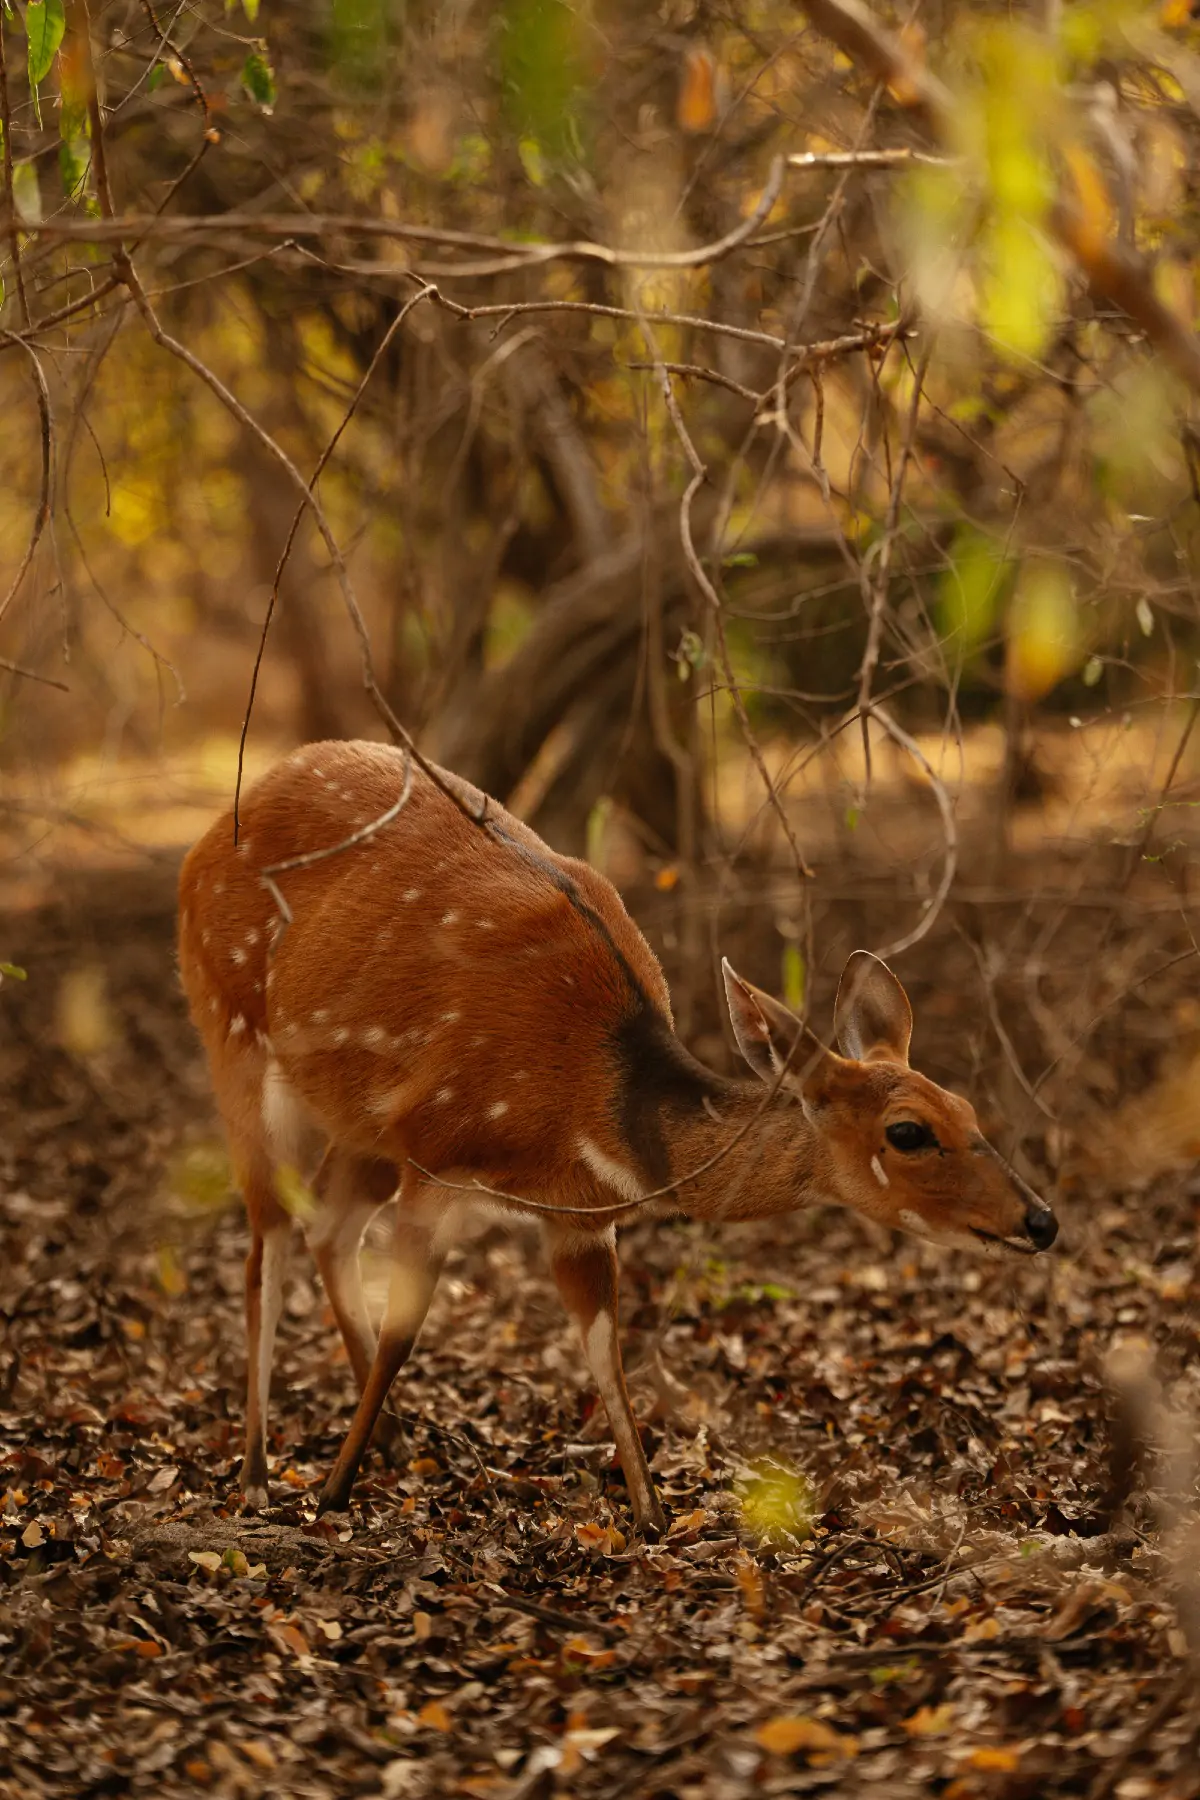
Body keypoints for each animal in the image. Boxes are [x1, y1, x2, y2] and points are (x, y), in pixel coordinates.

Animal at [178, 738, 1057, 1526]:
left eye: (971, 1110)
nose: (1041, 1221)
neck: (593, 1106)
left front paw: (649, 1514)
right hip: (235, 1044)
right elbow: (404, 1333)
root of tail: (201, 843)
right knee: (267, 1246)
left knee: (327, 1223)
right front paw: (331, 1493)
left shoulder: (579, 1217)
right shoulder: (435, 1159)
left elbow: (606, 1348)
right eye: (909, 1132)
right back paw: (257, 1478)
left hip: (360, 1125)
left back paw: (394, 1439)